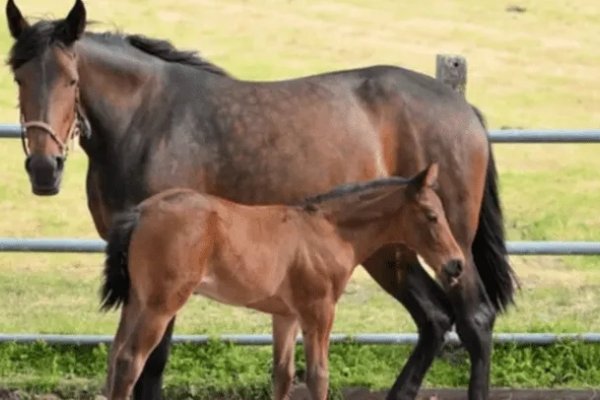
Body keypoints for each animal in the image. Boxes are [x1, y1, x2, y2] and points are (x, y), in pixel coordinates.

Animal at [99, 163, 464, 400]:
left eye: (444, 214)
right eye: (432, 216)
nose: (456, 264)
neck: (329, 231)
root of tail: (142, 212)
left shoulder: (286, 316)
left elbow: (283, 376)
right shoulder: (319, 311)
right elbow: (318, 376)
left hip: (137, 301)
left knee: (116, 355)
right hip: (161, 305)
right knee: (131, 360)